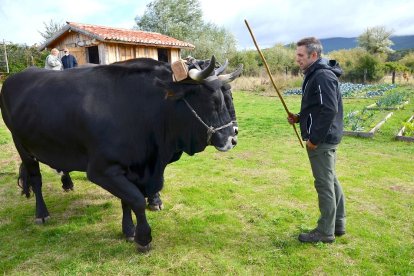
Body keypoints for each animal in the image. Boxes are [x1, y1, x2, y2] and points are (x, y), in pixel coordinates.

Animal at [0, 56, 243, 252]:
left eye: (228, 96)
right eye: (214, 101)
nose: (233, 138)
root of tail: (17, 76)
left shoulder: (132, 167)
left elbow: (127, 199)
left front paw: (129, 230)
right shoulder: (102, 169)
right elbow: (135, 199)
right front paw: (143, 238)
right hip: (21, 145)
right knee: (35, 179)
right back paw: (41, 213)